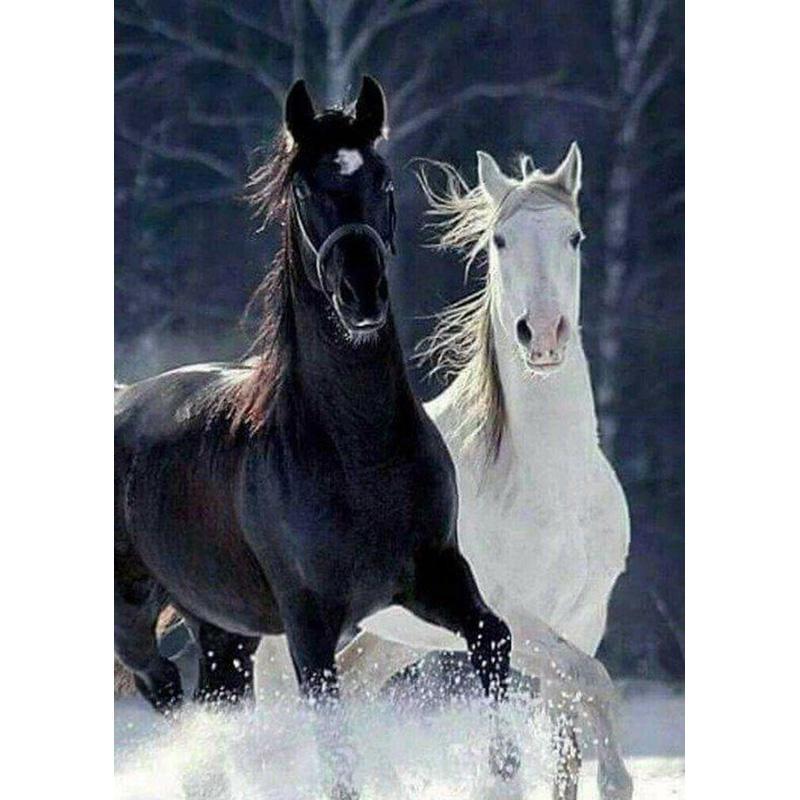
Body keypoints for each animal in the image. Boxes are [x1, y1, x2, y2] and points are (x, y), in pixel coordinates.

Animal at [114, 76, 516, 799]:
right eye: (304, 190)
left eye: (383, 178)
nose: (361, 294)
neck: (358, 453)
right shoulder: (309, 624)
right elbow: (336, 753)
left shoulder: (435, 574)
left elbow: (492, 639)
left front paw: (504, 770)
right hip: (133, 620)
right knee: (169, 698)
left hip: (223, 630)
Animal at [256, 144, 634, 800]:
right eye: (500, 241)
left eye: (575, 237)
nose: (542, 335)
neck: (549, 484)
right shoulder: (512, 619)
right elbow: (590, 681)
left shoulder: (584, 617)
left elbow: (569, 731)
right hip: (281, 648)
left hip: (384, 641)